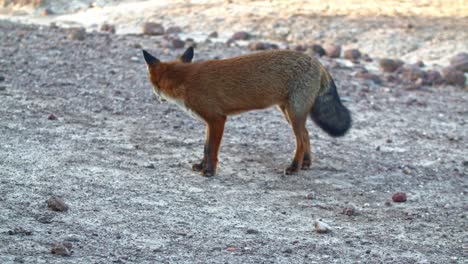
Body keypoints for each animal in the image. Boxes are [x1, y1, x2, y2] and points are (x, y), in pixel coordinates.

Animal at [143, 47, 352, 177]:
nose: (156, 97)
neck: (185, 79)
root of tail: (318, 63)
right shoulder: (209, 122)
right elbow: (205, 148)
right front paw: (201, 166)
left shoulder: (217, 119)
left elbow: (211, 149)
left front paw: (209, 171)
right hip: (289, 112)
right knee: (307, 135)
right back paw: (306, 163)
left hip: (294, 113)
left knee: (300, 140)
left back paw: (294, 167)